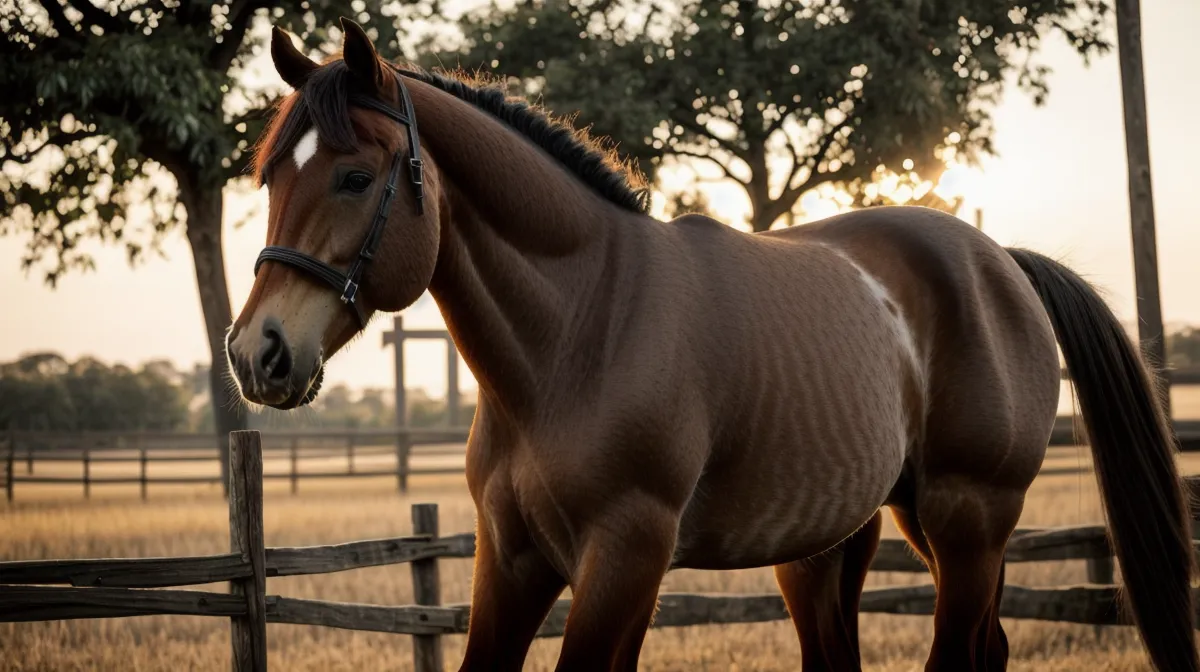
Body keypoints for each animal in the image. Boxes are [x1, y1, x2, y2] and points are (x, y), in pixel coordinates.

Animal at [226, 18, 1198, 672]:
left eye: (356, 176)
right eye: (270, 176)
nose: (256, 353)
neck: (580, 334)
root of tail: (1002, 264)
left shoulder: (625, 556)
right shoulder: (512, 559)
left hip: (967, 521)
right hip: (838, 544)